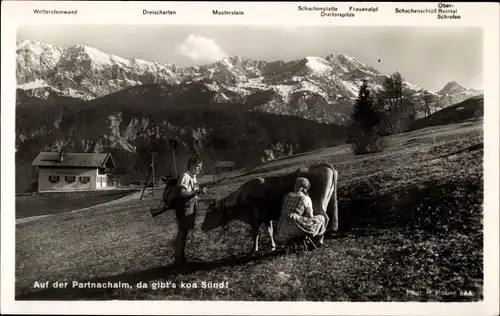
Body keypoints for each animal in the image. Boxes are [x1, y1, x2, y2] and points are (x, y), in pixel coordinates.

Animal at [201, 163, 338, 252]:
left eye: (209, 213)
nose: (202, 227)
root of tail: (320, 165)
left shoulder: (254, 219)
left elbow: (255, 234)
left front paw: (255, 249)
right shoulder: (266, 218)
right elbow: (270, 232)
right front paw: (273, 246)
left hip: (317, 203)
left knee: (325, 217)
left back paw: (319, 241)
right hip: (324, 201)